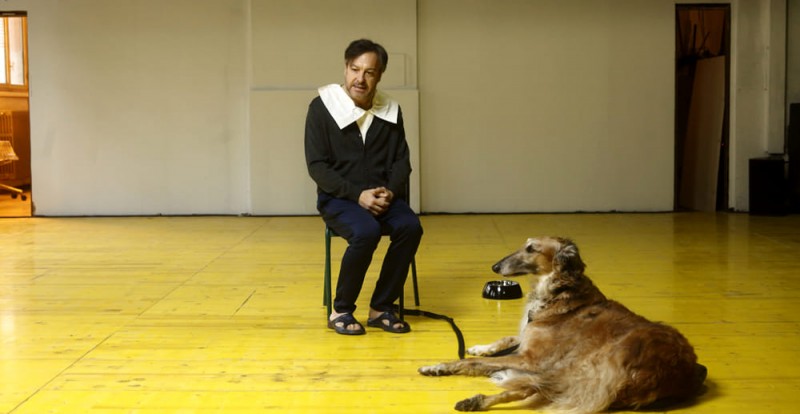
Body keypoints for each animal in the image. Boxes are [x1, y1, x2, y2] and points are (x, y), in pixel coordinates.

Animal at [418, 238, 708, 412]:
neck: (558, 292)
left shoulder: (532, 358)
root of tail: (685, 371)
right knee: (533, 389)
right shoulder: (527, 338)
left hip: (586, 365)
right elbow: (504, 340)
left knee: (534, 390)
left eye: (531, 249)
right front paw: (479, 347)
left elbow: (469, 362)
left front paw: (439, 365)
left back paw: (476, 398)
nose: (495, 266)